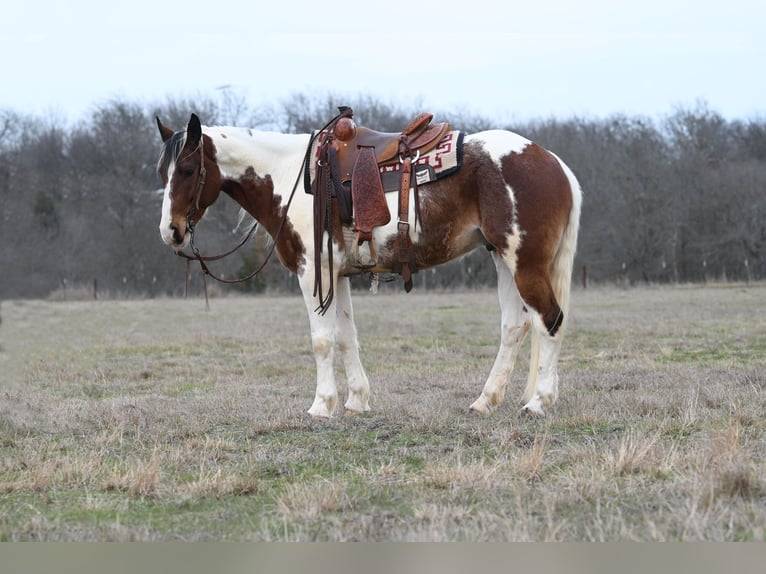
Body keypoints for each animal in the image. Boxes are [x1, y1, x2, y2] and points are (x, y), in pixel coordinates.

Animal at [158, 110, 588, 420]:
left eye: (188, 170)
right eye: (163, 172)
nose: (171, 231)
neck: (291, 176)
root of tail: (554, 163)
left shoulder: (313, 273)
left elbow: (321, 341)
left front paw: (321, 406)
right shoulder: (338, 275)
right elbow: (346, 337)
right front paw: (356, 401)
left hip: (525, 264)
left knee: (550, 321)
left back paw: (538, 402)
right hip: (502, 259)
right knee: (514, 327)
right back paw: (486, 400)